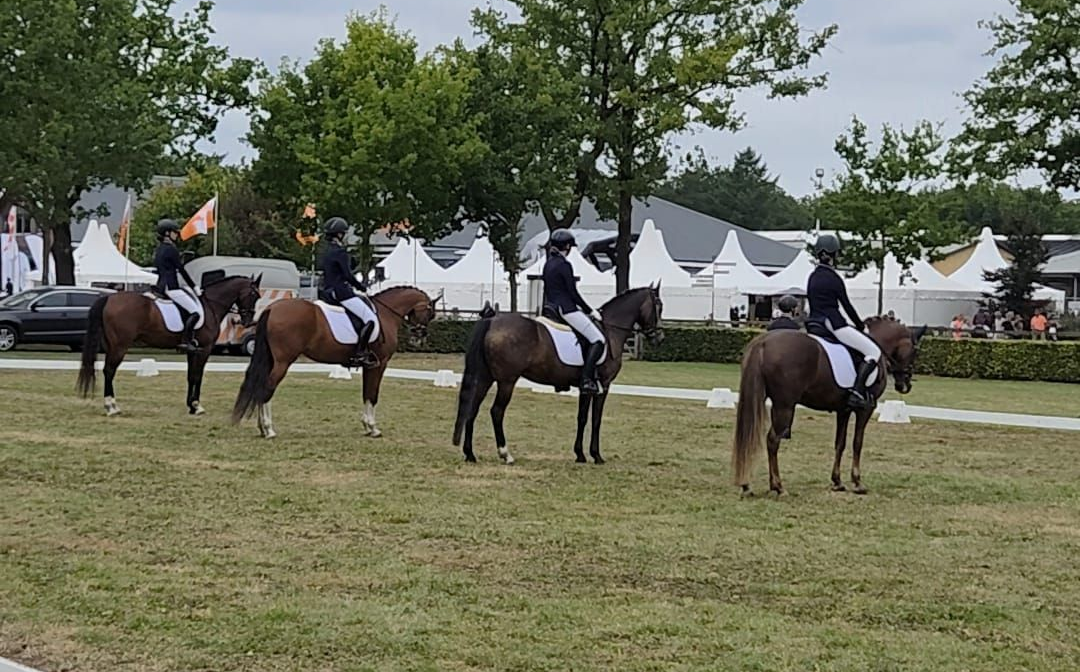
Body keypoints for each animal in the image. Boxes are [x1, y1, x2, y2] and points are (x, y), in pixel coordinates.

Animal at [76, 275, 263, 416]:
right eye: (254, 295)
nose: (248, 321)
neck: (211, 305)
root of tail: (109, 297)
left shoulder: (193, 350)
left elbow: (190, 376)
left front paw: (191, 406)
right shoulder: (205, 349)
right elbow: (198, 376)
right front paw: (197, 406)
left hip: (112, 344)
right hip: (120, 345)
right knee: (109, 370)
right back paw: (112, 407)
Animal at [231, 286, 439, 439]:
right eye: (430, 313)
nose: (419, 338)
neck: (385, 314)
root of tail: (271, 308)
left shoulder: (369, 366)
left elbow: (366, 393)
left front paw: (366, 426)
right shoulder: (380, 364)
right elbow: (373, 395)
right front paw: (373, 428)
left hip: (272, 359)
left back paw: (261, 428)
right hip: (283, 361)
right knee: (268, 387)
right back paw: (269, 430)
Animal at [452, 285, 664, 465]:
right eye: (659, 307)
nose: (660, 338)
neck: (610, 330)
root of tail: (492, 321)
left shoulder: (586, 387)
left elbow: (582, 417)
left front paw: (580, 455)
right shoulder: (603, 385)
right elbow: (596, 420)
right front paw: (596, 456)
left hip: (485, 378)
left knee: (472, 409)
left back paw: (470, 454)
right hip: (507, 381)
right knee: (497, 412)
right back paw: (506, 455)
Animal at [731, 317, 927, 496]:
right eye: (915, 351)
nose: (905, 386)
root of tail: (762, 342)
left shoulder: (843, 410)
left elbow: (840, 443)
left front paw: (837, 482)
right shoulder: (865, 409)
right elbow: (857, 443)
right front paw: (857, 483)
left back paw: (747, 485)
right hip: (784, 406)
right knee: (772, 440)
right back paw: (778, 487)